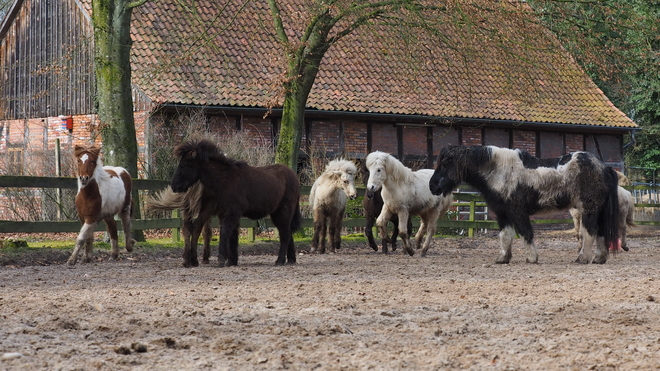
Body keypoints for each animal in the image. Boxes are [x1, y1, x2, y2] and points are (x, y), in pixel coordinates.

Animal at [168, 140, 302, 268]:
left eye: (184, 165)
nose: (174, 186)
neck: (225, 179)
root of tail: (294, 177)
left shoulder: (232, 212)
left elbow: (225, 232)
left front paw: (221, 260)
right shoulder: (225, 213)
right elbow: (232, 235)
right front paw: (231, 261)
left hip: (283, 211)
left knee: (285, 234)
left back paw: (280, 260)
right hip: (277, 213)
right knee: (288, 233)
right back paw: (291, 259)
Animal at [428, 145, 620, 264]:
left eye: (445, 163)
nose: (433, 186)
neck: (498, 171)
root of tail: (604, 167)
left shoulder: (517, 211)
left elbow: (525, 233)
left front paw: (532, 258)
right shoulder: (502, 213)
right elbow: (505, 235)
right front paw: (503, 258)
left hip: (589, 209)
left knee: (590, 231)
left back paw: (582, 258)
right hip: (599, 210)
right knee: (601, 233)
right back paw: (599, 258)